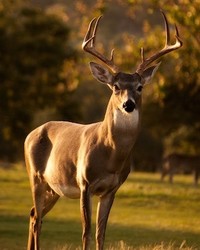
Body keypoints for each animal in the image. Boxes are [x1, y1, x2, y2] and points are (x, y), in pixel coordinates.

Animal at [24, 10, 182, 250]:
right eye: (116, 86)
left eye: (139, 87)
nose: (128, 104)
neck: (111, 155)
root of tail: (30, 134)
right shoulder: (84, 183)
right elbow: (86, 232)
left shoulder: (111, 189)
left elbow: (101, 233)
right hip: (35, 176)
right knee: (37, 218)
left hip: (53, 187)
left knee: (34, 214)